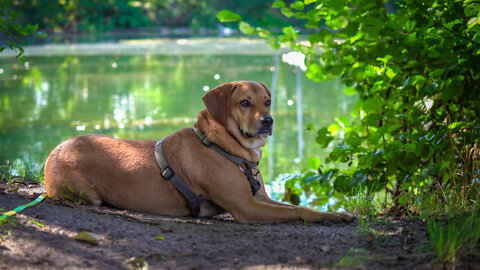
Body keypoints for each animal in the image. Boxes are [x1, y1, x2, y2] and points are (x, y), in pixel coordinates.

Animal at [45, 80, 352, 224]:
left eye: (267, 101)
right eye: (244, 102)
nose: (268, 121)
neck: (225, 147)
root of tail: (54, 150)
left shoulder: (261, 198)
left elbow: (300, 206)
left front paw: (337, 215)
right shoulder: (247, 207)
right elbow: (297, 211)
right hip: (86, 193)